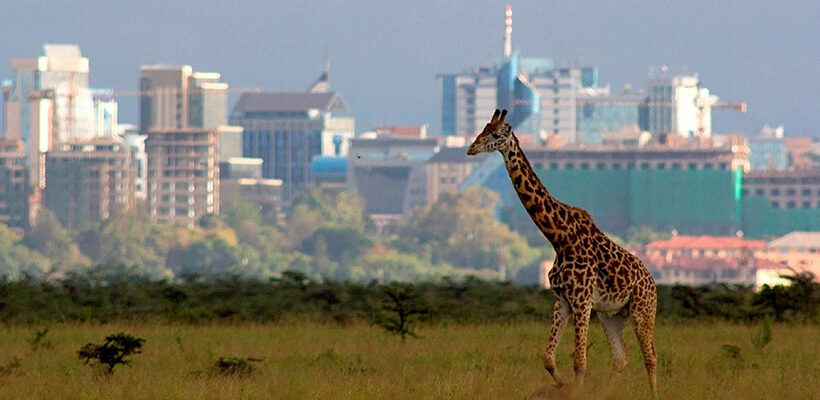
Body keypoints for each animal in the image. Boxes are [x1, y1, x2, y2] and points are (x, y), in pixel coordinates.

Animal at [467, 109, 658, 393]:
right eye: (483, 128)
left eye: (496, 134)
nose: (471, 148)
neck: (559, 238)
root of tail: (653, 283)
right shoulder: (562, 301)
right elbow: (548, 358)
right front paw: (562, 385)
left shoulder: (582, 300)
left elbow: (579, 360)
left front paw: (574, 390)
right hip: (611, 315)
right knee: (621, 358)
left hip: (642, 310)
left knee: (650, 357)